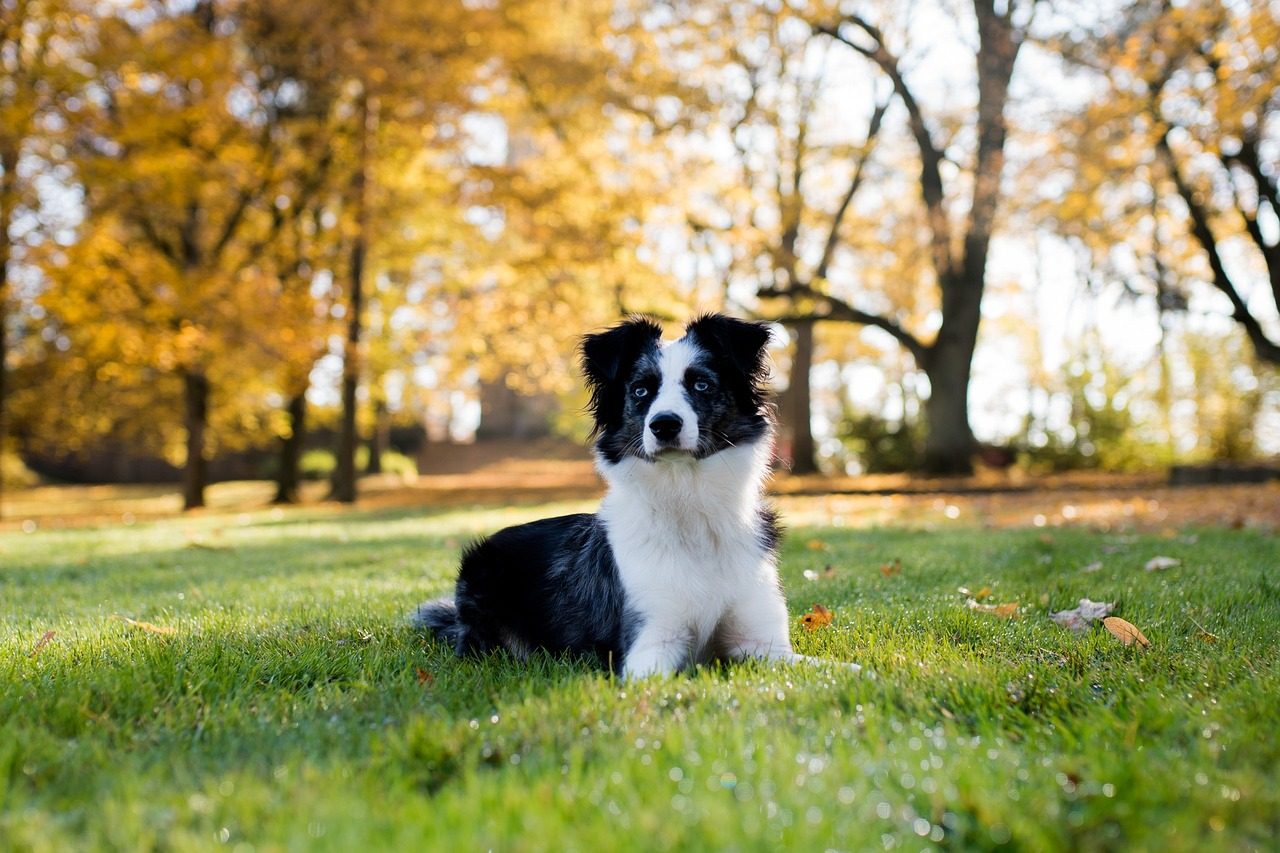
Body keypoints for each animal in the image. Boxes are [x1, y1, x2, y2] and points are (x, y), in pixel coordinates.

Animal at [409, 312, 855, 676]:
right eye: (641, 391)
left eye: (701, 384)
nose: (664, 424)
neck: (689, 504)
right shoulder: (651, 644)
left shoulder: (764, 647)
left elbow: (836, 669)